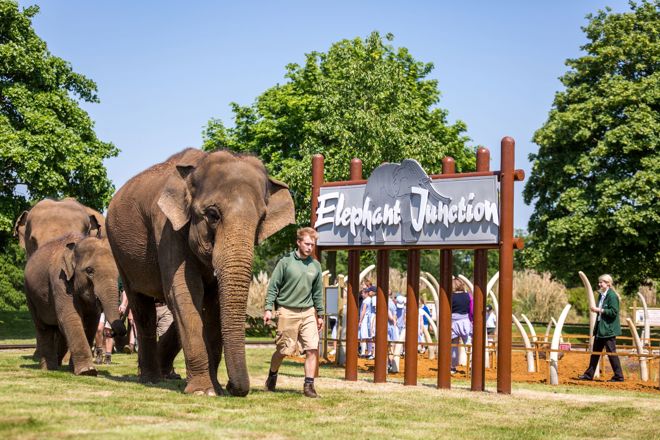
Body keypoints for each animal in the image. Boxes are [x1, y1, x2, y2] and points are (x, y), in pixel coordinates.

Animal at [24, 234, 126, 374]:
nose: (115, 332)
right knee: (44, 327)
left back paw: (58, 364)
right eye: (89, 270)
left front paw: (78, 369)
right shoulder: (59, 280)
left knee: (59, 329)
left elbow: (91, 322)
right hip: (30, 296)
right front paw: (87, 371)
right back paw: (49, 368)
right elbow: (70, 317)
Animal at [105, 147, 294, 396]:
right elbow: (185, 292)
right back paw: (151, 379)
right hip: (119, 253)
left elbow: (213, 304)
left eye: (261, 220)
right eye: (213, 215)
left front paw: (216, 389)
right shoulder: (167, 229)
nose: (233, 386)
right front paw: (204, 391)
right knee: (142, 308)